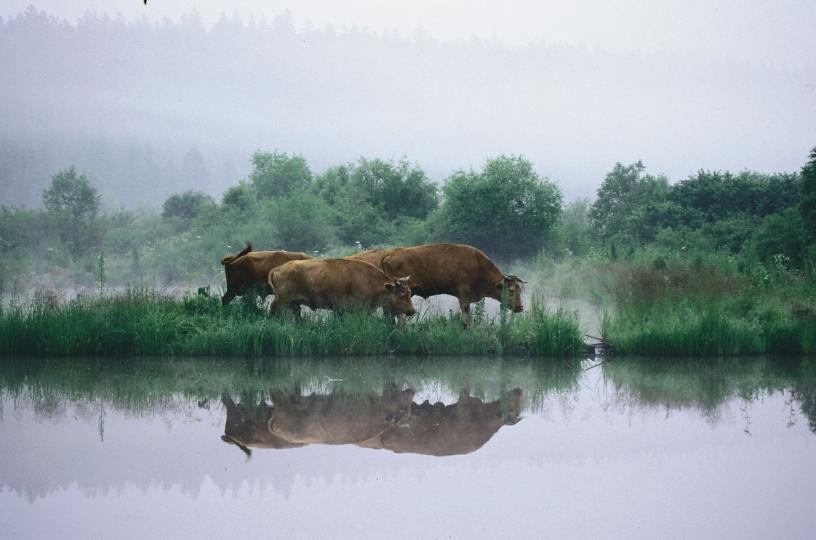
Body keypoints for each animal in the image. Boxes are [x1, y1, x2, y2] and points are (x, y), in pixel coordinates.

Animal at [270, 258, 414, 320]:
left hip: (293, 303)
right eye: (401, 294)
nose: (412, 311)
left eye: (409, 292)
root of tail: (278, 269)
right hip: (282, 301)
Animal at [350, 244, 524, 324]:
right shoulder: (464, 295)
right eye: (511, 290)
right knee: (398, 313)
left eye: (520, 289)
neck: (478, 266)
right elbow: (466, 314)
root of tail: (388, 255)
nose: (521, 307)